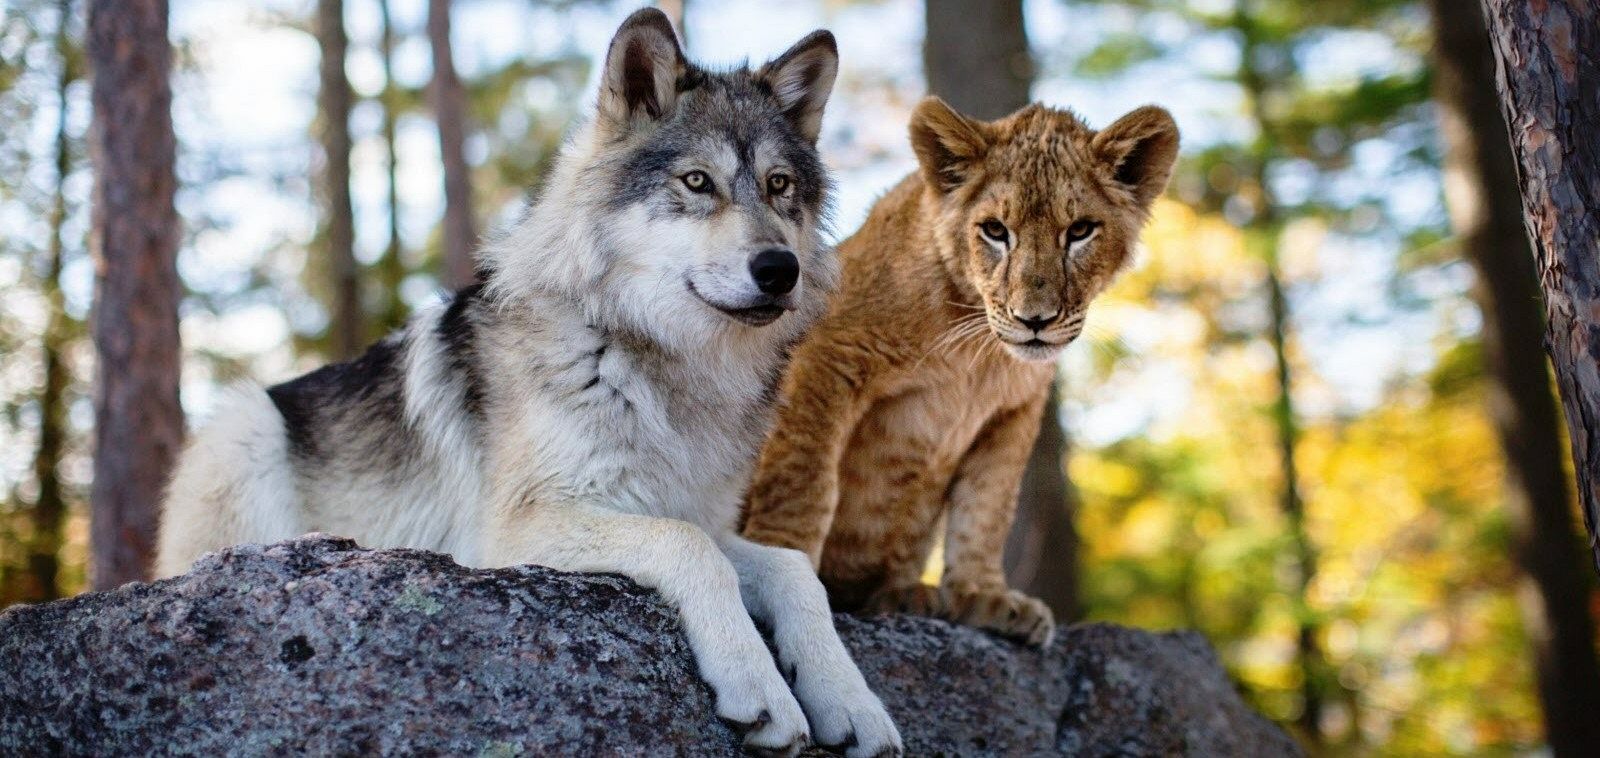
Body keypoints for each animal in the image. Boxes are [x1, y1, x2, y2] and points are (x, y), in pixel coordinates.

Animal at [157, 9, 901, 756]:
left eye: (779, 186)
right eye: (697, 182)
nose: (779, 269)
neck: (659, 363)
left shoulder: (697, 514)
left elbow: (794, 570)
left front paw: (851, 701)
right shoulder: (513, 533)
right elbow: (689, 550)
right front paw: (760, 687)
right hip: (243, 424)